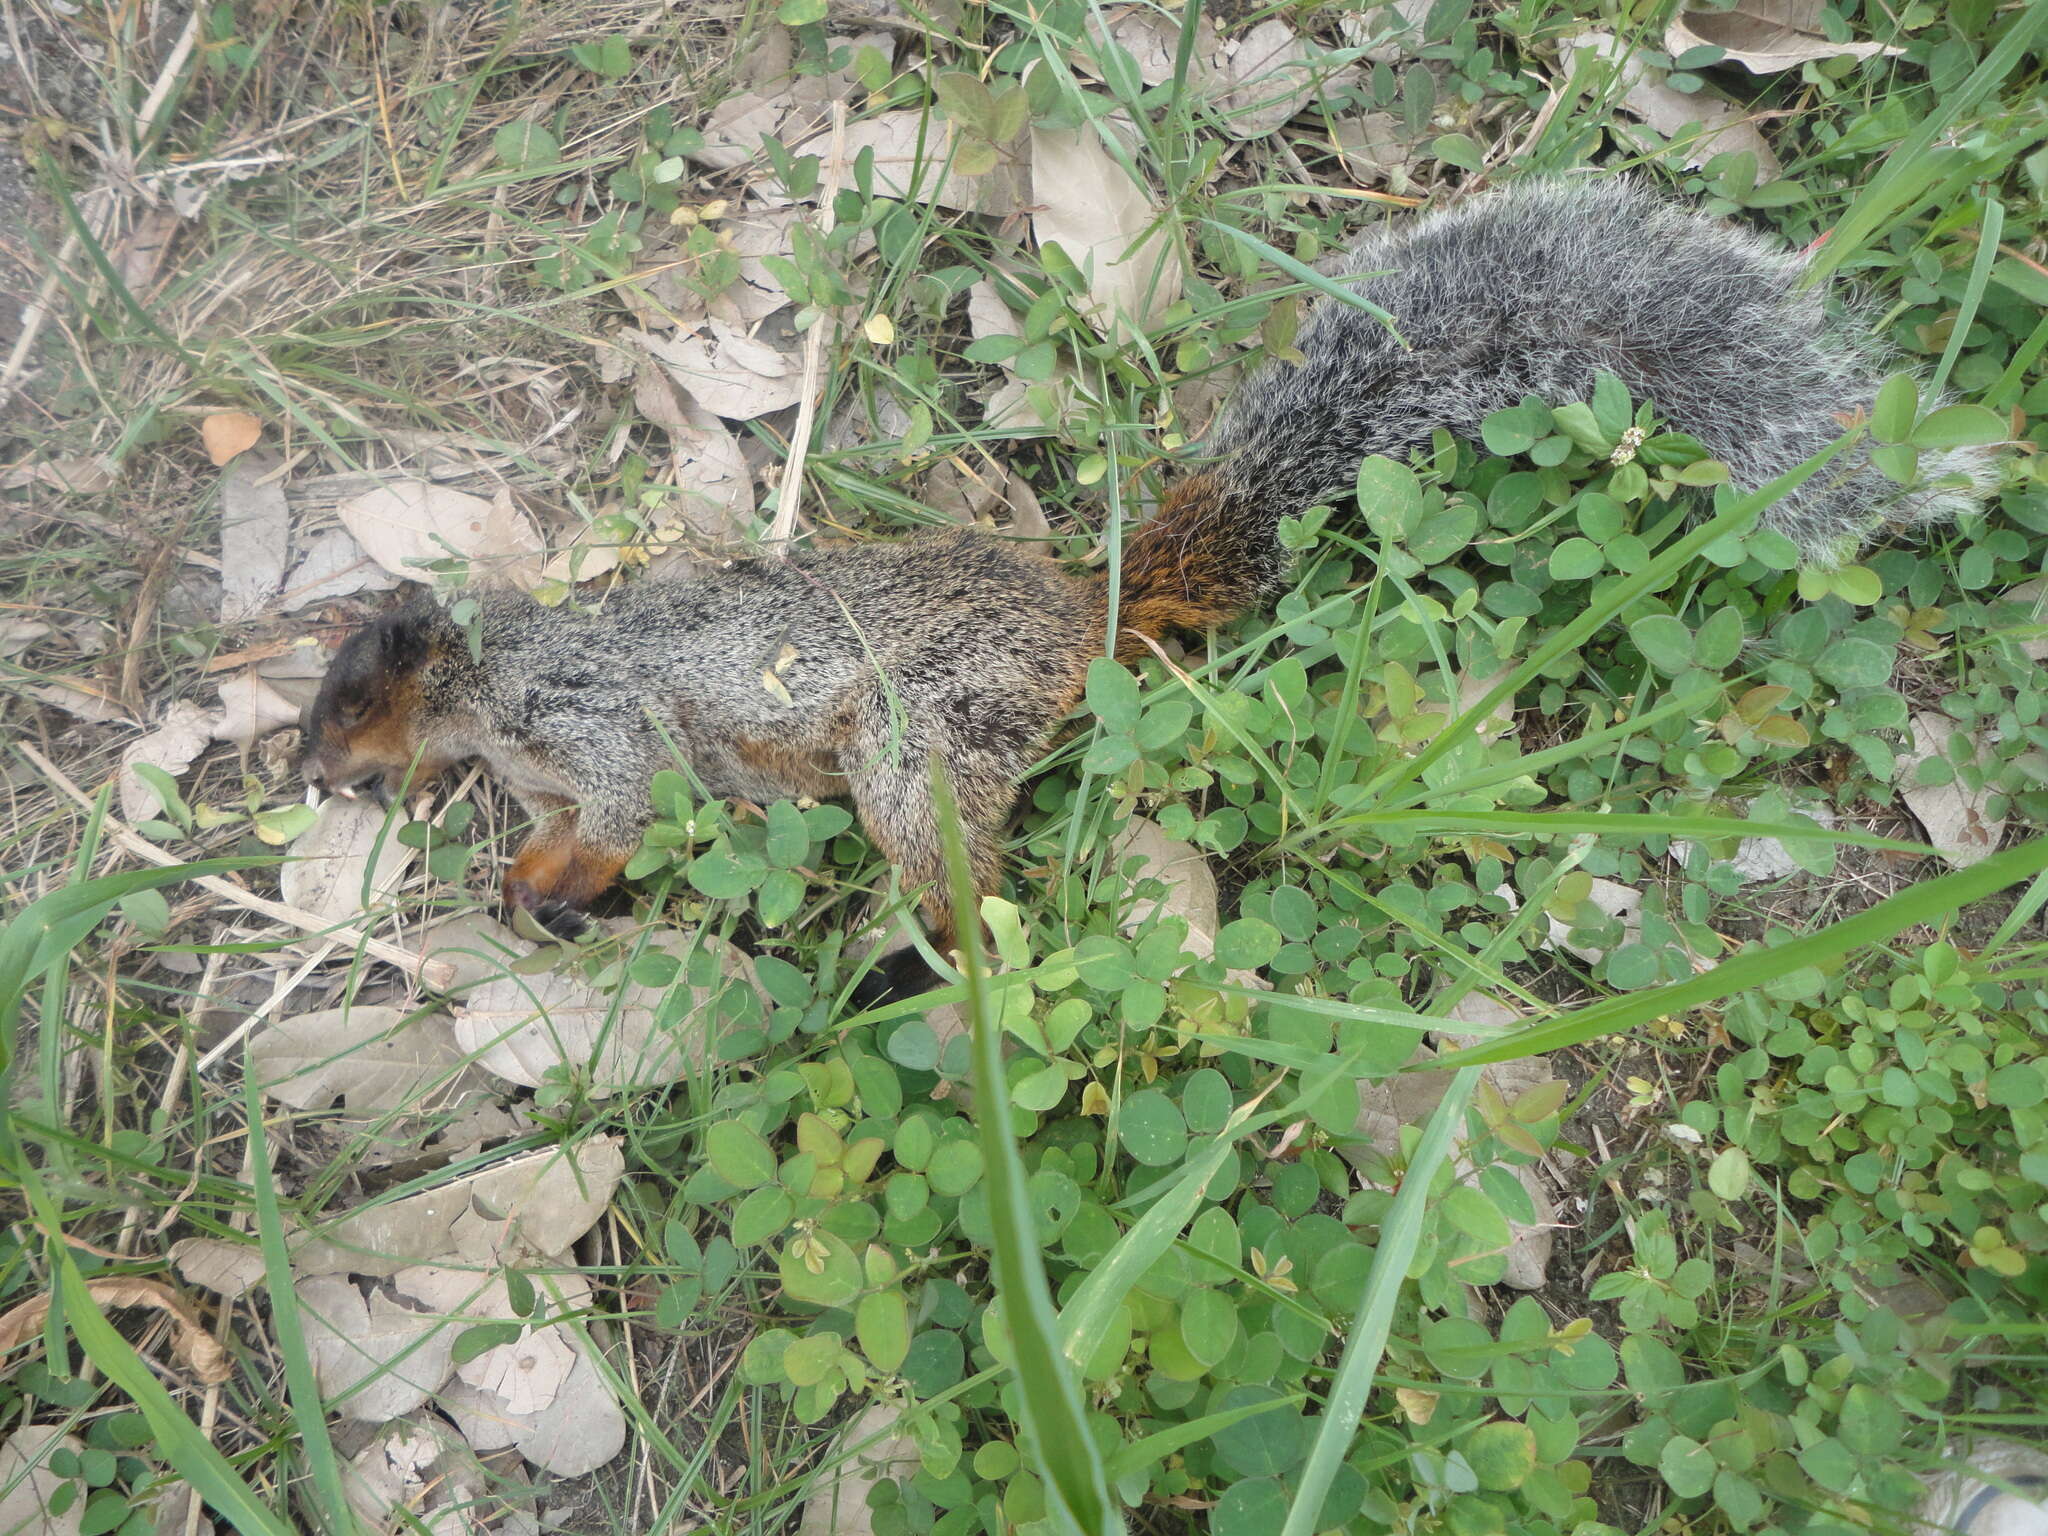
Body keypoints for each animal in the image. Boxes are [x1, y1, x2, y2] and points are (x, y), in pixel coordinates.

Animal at [303, 177, 1998, 974]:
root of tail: (1080, 609)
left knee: (961, 871)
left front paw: (547, 887)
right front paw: (519, 876)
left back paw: (931, 960)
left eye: (348, 694)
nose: (312, 774)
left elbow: (622, 802)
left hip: (923, 733)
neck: (488, 692)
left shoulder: (583, 712)